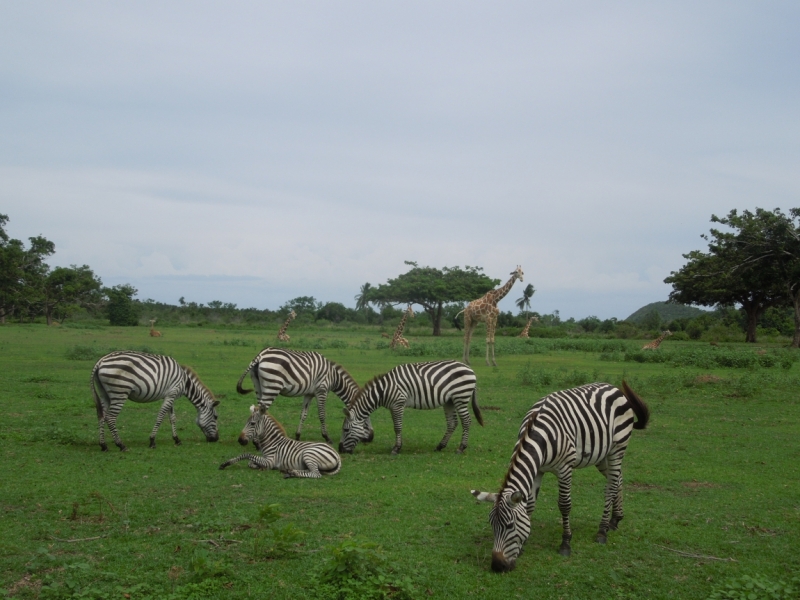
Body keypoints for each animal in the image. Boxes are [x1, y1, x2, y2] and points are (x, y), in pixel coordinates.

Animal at [91, 352, 219, 450]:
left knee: (101, 416)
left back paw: (103, 445)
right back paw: (121, 445)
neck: (184, 381)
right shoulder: (172, 393)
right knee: (110, 418)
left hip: (104, 394)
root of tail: (101, 361)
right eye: (216, 417)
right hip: (120, 392)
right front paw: (152, 441)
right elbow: (161, 416)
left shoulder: (170, 395)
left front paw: (177, 439)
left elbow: (172, 418)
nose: (216, 439)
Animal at [231, 346, 368, 446]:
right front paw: (327, 437)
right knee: (259, 411)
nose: (369, 439)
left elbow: (303, 414)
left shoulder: (309, 394)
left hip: (258, 386)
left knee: (258, 409)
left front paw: (297, 435)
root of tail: (261, 355)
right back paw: (256, 442)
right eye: (365, 420)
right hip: (272, 386)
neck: (333, 376)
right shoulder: (321, 390)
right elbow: (322, 415)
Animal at [338, 360, 482, 454]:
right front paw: (398, 446)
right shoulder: (393, 407)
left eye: (345, 430)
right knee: (452, 423)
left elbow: (397, 427)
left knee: (466, 421)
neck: (383, 391)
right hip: (450, 401)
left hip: (461, 397)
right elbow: (396, 427)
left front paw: (396, 448)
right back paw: (440, 446)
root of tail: (470, 369)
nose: (340, 450)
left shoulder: (398, 404)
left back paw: (461, 447)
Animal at [468, 380, 648, 572]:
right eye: (492, 525)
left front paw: (566, 543)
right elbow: (530, 505)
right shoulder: (538, 470)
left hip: (617, 448)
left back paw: (602, 531)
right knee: (617, 479)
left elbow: (564, 505)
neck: (540, 438)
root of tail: (613, 387)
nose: (497, 566)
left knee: (611, 486)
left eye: (509, 525)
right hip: (602, 455)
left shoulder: (565, 469)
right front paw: (524, 544)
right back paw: (615, 520)